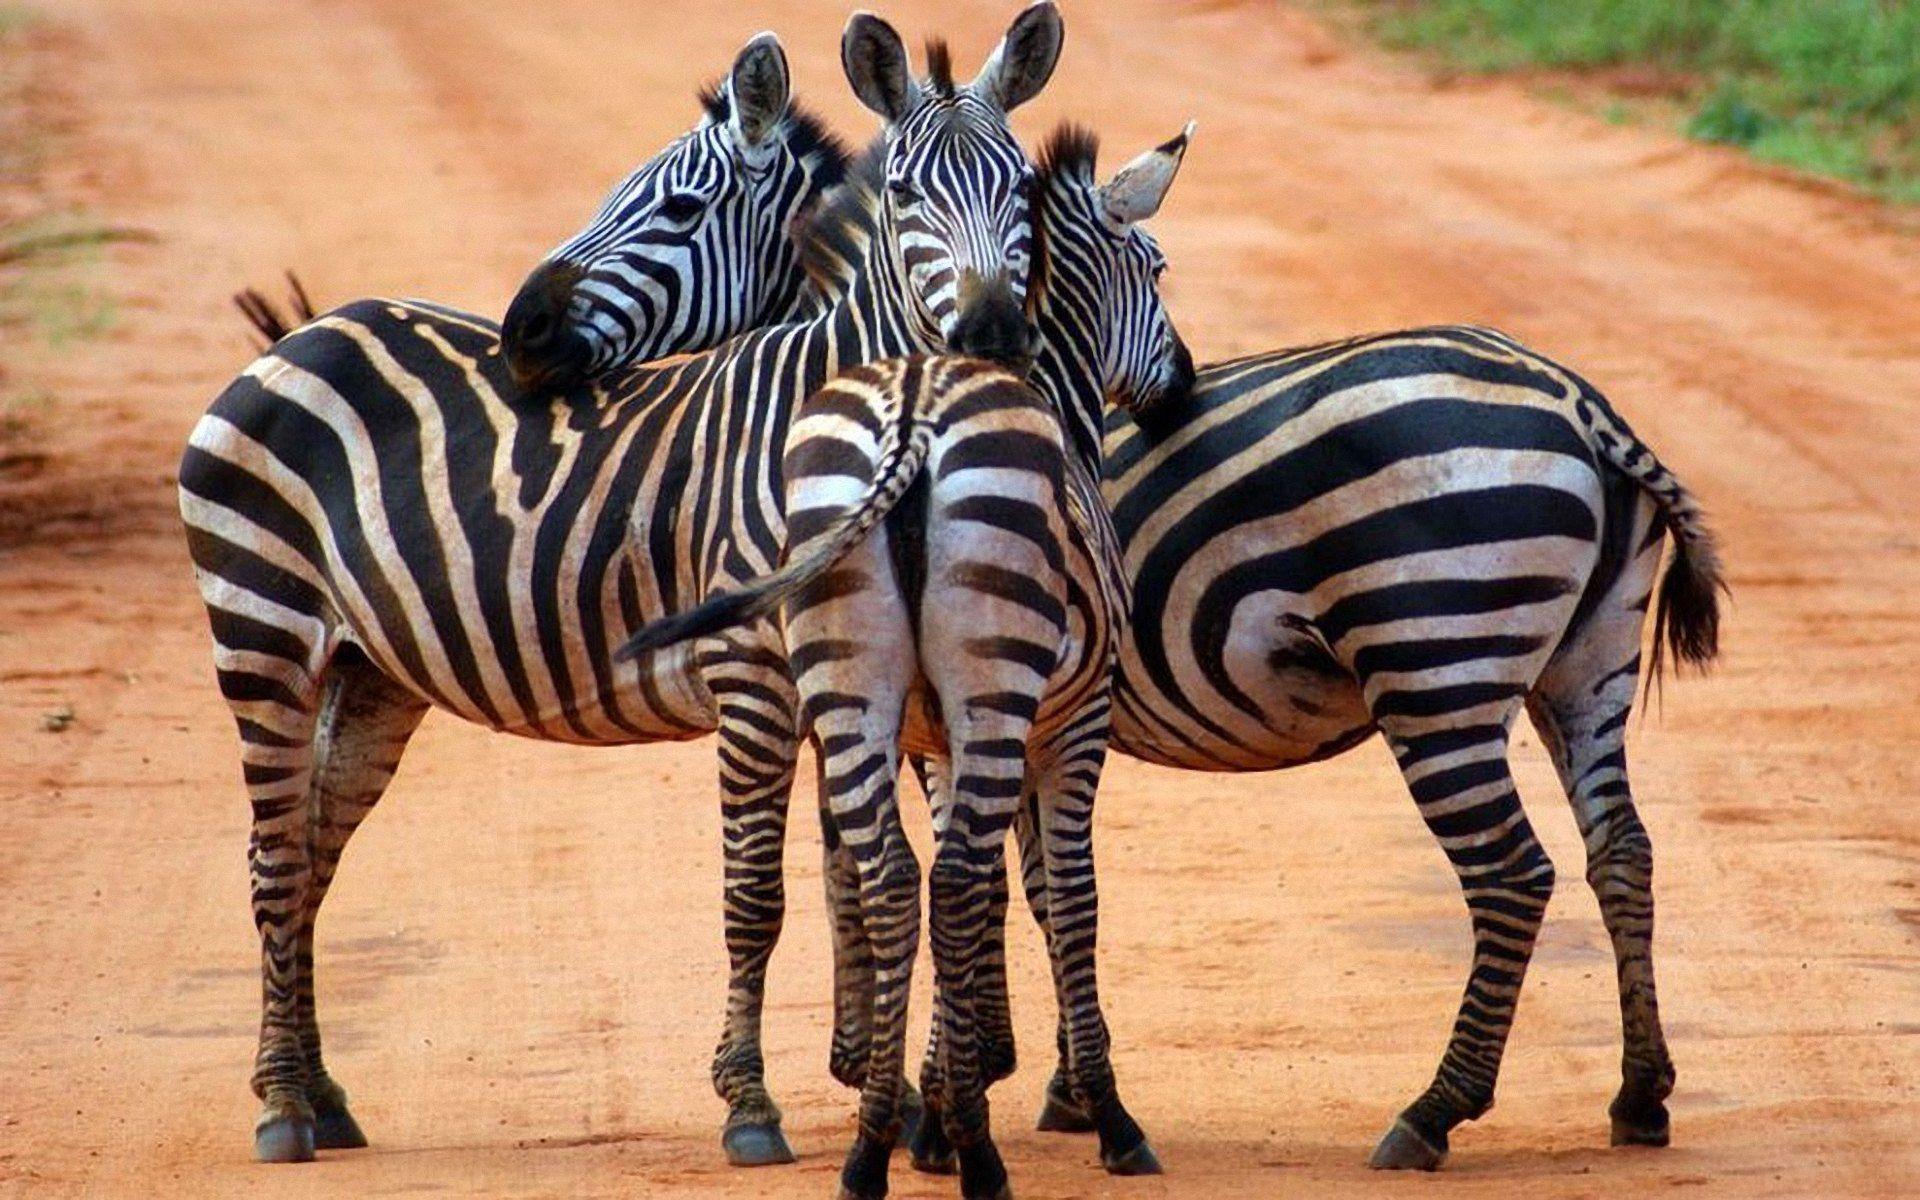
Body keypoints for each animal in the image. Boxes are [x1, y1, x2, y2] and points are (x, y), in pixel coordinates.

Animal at [180, 6, 1062, 1166]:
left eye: (1022, 190)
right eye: (909, 194)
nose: (993, 331)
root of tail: (305, 334)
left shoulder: (833, 685)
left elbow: (852, 882)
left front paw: (903, 1099)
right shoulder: (750, 681)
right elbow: (757, 896)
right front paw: (753, 1106)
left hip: (371, 670)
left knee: (310, 850)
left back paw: (319, 1093)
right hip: (264, 631)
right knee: (275, 855)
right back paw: (282, 1104)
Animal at [617, 351, 1152, 1200]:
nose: (1180, 384)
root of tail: (912, 413)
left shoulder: (935, 745)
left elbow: (993, 897)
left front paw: (944, 1096)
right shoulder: (1077, 724)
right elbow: (1067, 901)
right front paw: (1101, 1112)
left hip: (849, 676)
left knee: (898, 879)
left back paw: (871, 1151)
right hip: (994, 677)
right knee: (953, 881)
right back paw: (981, 1160)